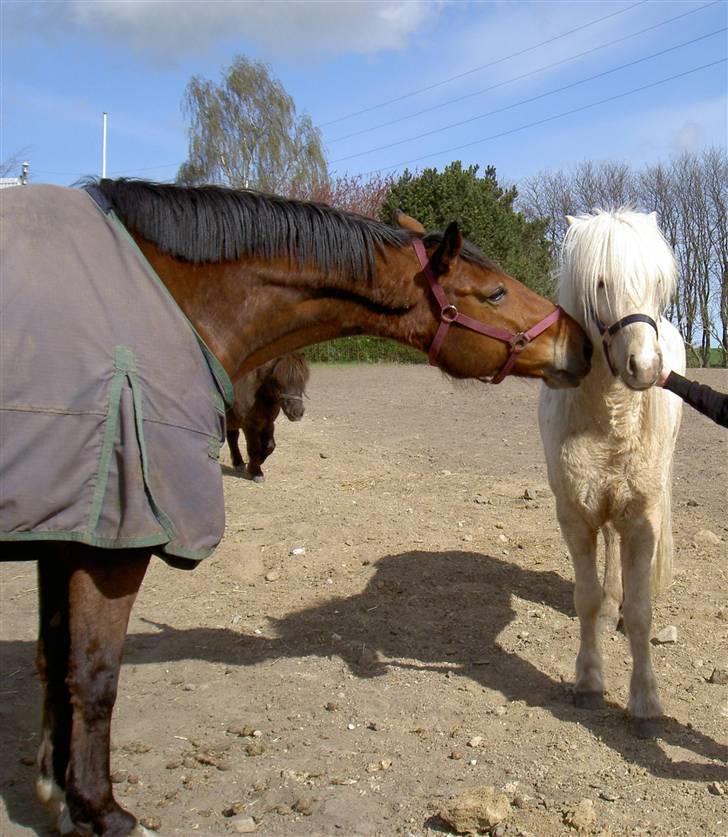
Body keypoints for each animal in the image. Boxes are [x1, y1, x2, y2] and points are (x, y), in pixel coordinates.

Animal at [226, 352, 308, 480]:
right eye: (278, 380)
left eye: (302, 381)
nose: (297, 412)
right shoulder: (249, 425)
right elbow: (255, 448)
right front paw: (256, 472)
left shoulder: (268, 423)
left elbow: (270, 446)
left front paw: (257, 463)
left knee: (232, 437)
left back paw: (238, 464)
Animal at [536, 211, 684, 740]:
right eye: (600, 283)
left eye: (658, 281)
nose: (646, 366)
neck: (609, 416)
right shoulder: (575, 516)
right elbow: (586, 598)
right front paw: (588, 682)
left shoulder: (642, 519)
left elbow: (640, 614)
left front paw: (645, 704)